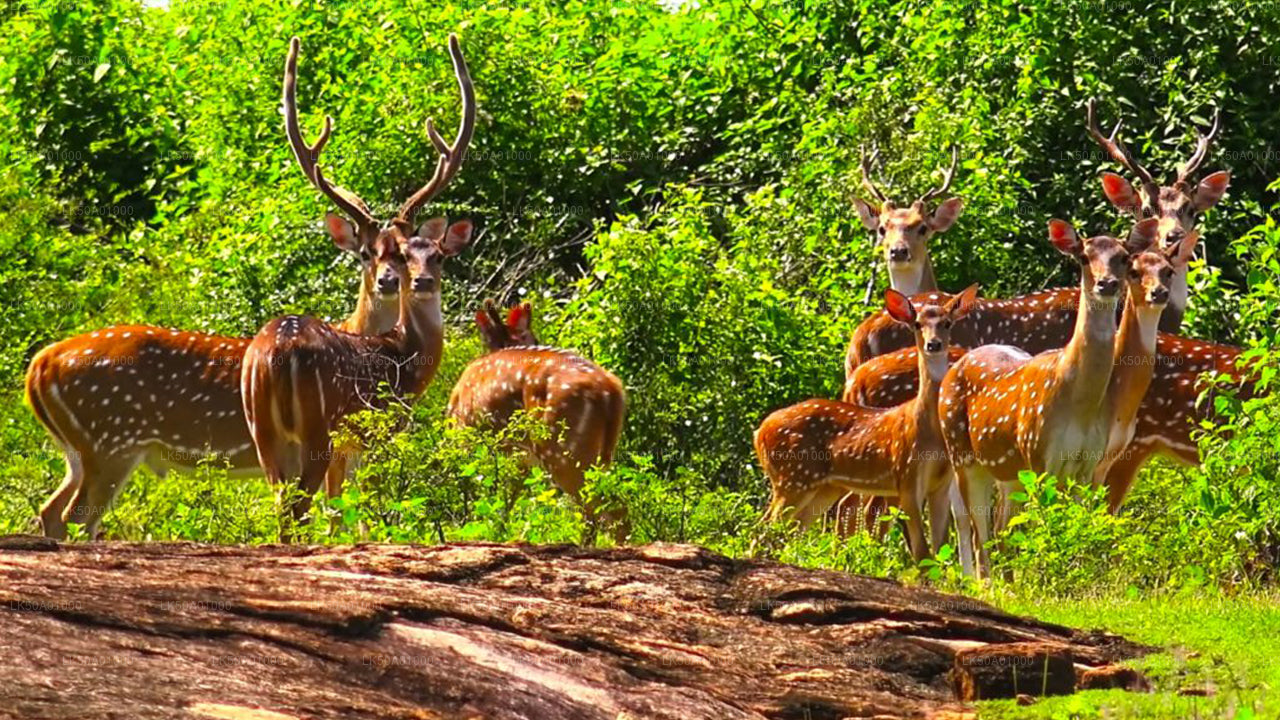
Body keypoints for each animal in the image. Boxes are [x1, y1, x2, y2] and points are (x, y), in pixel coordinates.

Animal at [22, 33, 414, 538]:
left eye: (403, 253)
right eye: (366, 253)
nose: (388, 281)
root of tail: (38, 366)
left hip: (78, 450)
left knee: (51, 509)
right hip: (112, 439)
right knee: (76, 515)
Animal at [240, 32, 476, 532]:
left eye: (410, 253)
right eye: (370, 253)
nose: (403, 282)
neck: (404, 354)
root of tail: (277, 353)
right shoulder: (379, 431)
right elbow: (368, 508)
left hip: (264, 432)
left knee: (282, 508)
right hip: (319, 427)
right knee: (298, 511)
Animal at [448, 299, 627, 530]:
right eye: (534, 338)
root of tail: (611, 390)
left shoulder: (465, 442)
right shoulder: (520, 461)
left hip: (562, 447)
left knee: (601, 509)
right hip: (602, 455)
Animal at [752, 285, 972, 561]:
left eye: (947, 323)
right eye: (917, 324)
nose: (934, 344)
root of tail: (759, 432)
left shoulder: (940, 484)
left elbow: (939, 547)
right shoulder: (907, 477)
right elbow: (922, 552)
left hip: (821, 488)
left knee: (790, 532)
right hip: (791, 478)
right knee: (763, 531)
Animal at [936, 215, 1167, 573]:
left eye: (1124, 257)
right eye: (1083, 257)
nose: (1107, 284)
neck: (1080, 402)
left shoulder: (1087, 463)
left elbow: (1078, 526)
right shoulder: (1039, 455)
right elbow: (1040, 528)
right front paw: (1042, 573)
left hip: (1007, 470)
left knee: (998, 529)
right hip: (961, 453)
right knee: (978, 534)